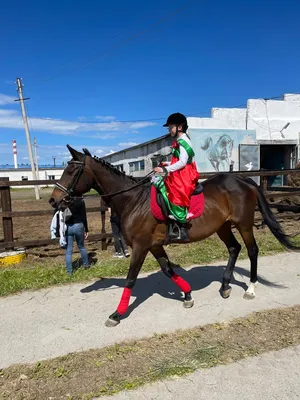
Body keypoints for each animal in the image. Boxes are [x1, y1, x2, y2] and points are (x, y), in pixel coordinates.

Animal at [48, 145, 298, 326]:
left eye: (71, 171)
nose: (53, 200)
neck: (133, 200)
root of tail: (244, 180)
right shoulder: (154, 245)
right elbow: (168, 270)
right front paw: (187, 295)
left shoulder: (140, 246)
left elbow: (131, 278)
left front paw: (117, 314)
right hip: (223, 227)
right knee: (234, 248)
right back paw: (225, 286)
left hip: (244, 224)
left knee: (252, 250)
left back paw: (251, 289)